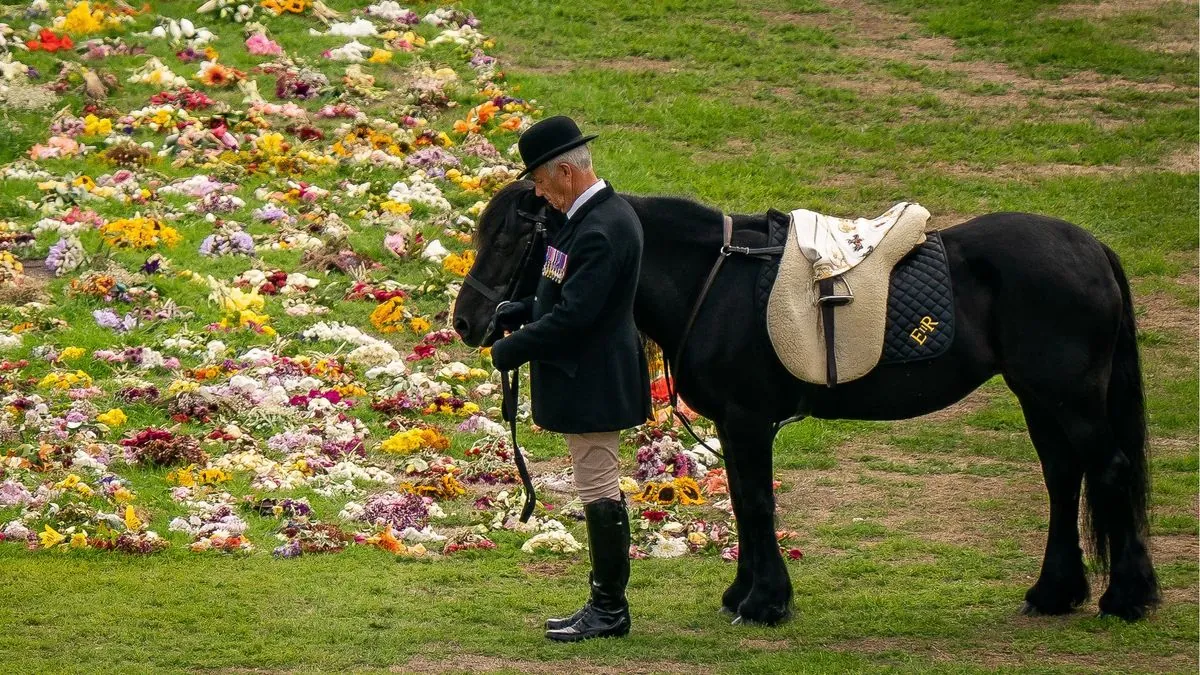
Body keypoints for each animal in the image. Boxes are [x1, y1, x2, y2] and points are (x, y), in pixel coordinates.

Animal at [453, 178, 1156, 619]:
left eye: (512, 239)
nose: (467, 323)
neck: (716, 280)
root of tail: (1092, 249)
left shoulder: (747, 419)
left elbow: (757, 504)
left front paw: (765, 602)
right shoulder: (736, 424)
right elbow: (744, 504)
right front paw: (744, 594)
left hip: (1069, 398)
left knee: (1110, 470)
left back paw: (1127, 597)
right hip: (1042, 398)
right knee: (1065, 478)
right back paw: (1055, 592)